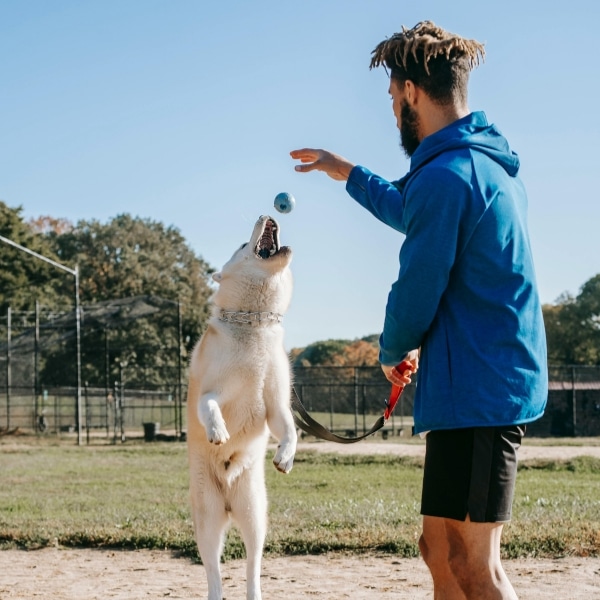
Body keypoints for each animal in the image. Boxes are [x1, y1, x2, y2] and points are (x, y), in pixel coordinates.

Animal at [188, 216, 298, 600]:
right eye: (240, 245)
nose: (268, 215)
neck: (254, 325)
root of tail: (228, 502)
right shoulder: (211, 392)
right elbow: (208, 407)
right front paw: (218, 431)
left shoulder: (276, 406)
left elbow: (290, 430)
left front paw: (285, 457)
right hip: (208, 522)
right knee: (213, 570)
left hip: (254, 517)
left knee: (253, 564)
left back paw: (254, 593)